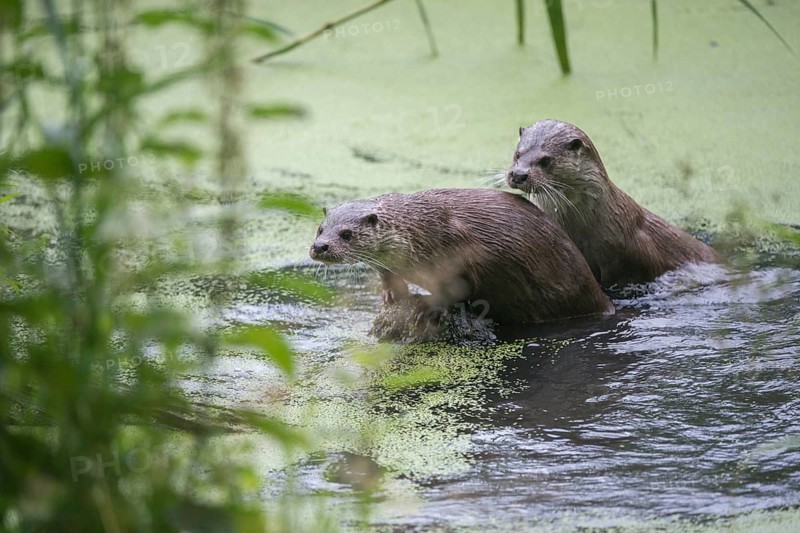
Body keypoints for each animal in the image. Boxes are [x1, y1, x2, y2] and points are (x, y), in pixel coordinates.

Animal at [309, 188, 613, 325]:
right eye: (320, 228)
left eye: (347, 234)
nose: (320, 247)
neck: (419, 231)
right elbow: (388, 275)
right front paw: (391, 294)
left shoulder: (457, 249)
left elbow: (458, 289)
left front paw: (426, 307)